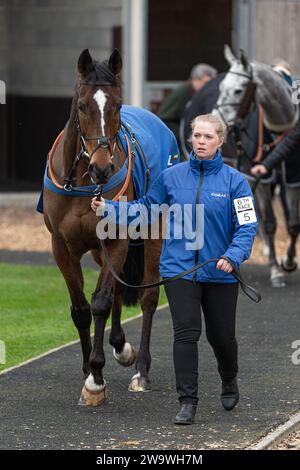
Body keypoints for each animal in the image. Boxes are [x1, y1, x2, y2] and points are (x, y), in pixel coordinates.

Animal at [41, 49, 179, 406]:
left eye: (117, 104)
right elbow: (81, 309)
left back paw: (140, 370)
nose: (102, 168)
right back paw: (120, 345)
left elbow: (101, 301)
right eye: (81, 106)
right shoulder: (62, 246)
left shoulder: (118, 239)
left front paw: (96, 378)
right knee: (116, 289)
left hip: (153, 232)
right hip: (96, 250)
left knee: (147, 297)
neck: (83, 182)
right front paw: (89, 370)